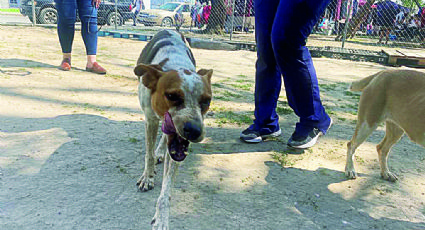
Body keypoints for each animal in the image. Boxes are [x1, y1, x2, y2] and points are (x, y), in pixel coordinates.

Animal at [132, 29, 212, 229]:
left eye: (206, 101)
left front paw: (161, 218)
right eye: (172, 96)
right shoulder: (150, 120)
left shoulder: (177, 146)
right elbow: (148, 155)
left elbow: (166, 190)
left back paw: (161, 151)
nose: (195, 131)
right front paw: (147, 176)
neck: (176, 64)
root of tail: (172, 29)